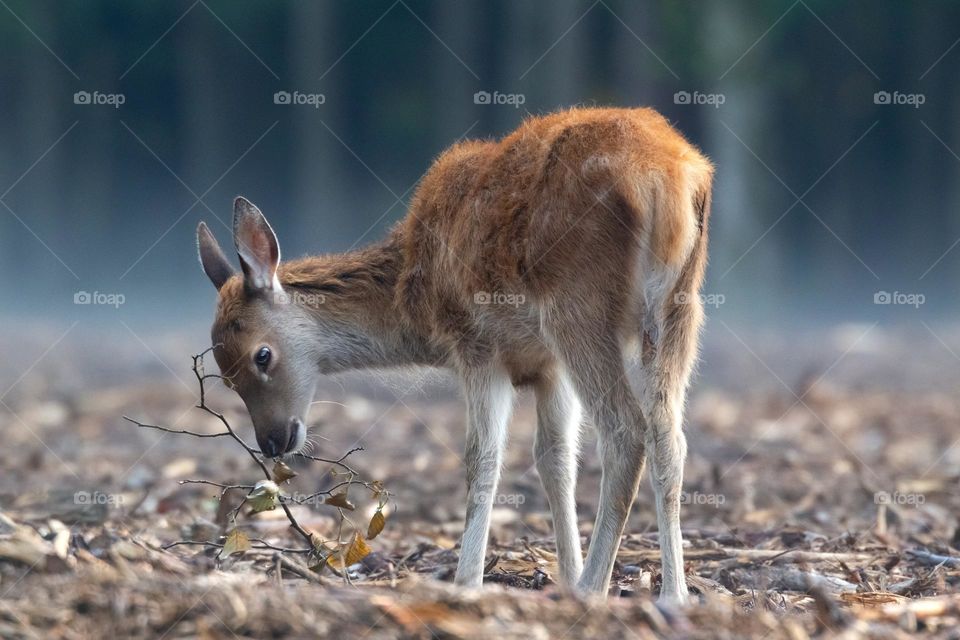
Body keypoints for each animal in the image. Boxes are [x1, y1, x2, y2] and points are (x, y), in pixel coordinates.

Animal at [196, 107, 713, 603]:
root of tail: (668, 178)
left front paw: (469, 581)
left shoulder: (476, 343)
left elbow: (482, 458)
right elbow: (555, 459)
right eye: (225, 375)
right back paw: (673, 595)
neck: (414, 298)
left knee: (624, 431)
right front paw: (564, 575)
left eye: (262, 355)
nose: (273, 441)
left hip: (577, 309)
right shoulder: (548, 365)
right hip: (680, 310)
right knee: (669, 437)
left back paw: (595, 589)